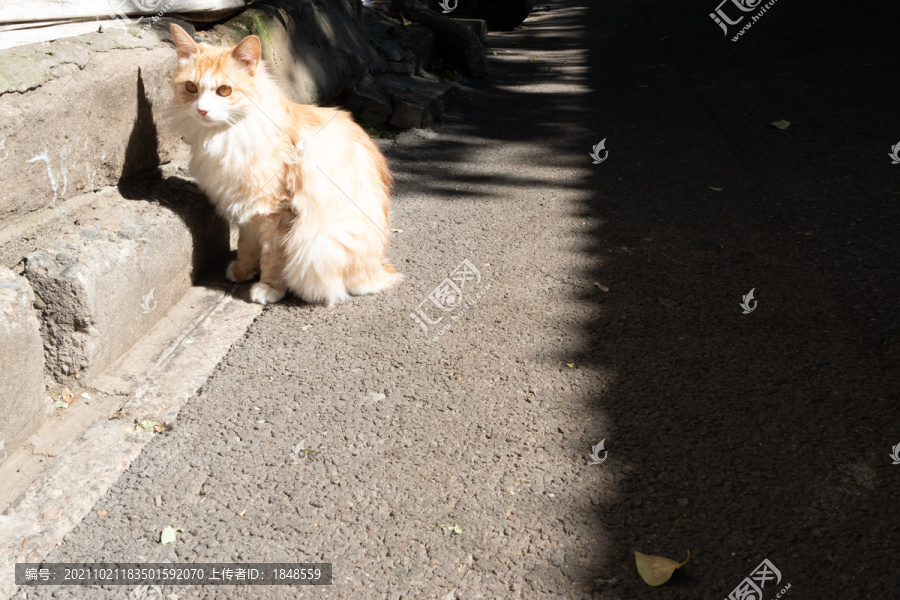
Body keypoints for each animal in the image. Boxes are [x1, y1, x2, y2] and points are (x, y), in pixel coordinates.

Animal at [169, 24, 400, 308]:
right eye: (191, 87)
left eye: (224, 91)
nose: (202, 111)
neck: (226, 135)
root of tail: (381, 267)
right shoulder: (246, 204)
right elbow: (246, 244)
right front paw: (243, 271)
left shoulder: (276, 209)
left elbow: (273, 256)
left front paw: (268, 287)